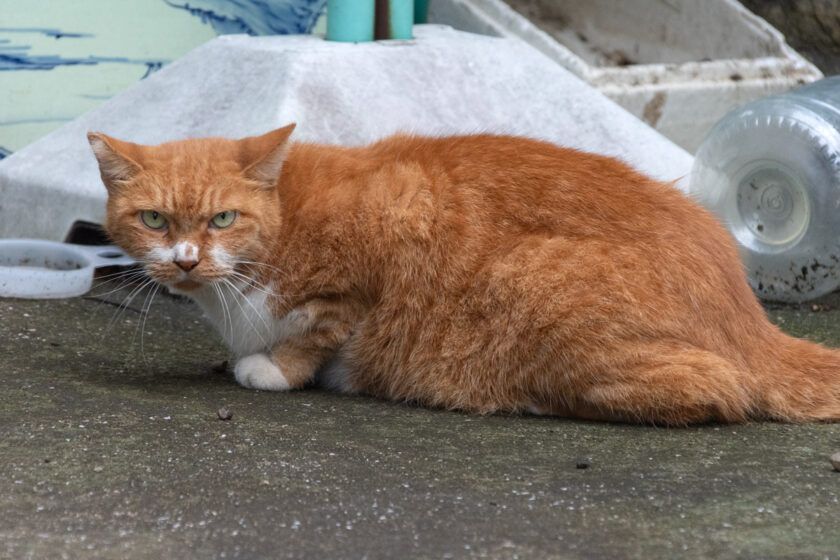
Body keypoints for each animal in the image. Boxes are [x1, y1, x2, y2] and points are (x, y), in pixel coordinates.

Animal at [88, 126, 840, 424]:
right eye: (154, 220)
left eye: (222, 219)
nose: (186, 260)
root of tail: (753, 320)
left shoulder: (396, 224)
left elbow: (321, 329)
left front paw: (274, 366)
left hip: (537, 289)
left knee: (713, 391)